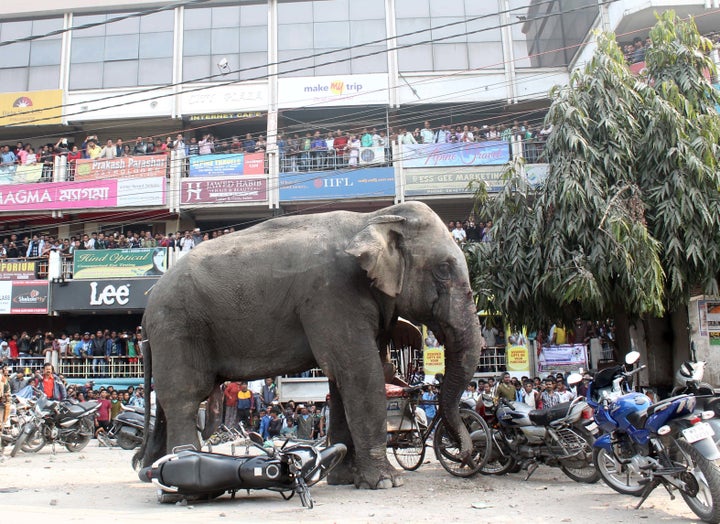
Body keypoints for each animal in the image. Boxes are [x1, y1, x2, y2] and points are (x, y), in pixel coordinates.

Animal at [135, 202, 484, 492]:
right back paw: (181, 473)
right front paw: (387, 482)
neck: (373, 218)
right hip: (178, 326)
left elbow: (343, 382)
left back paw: (153, 471)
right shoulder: (332, 294)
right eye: (443, 269)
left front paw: (344, 479)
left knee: (166, 403)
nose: (465, 455)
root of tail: (147, 309)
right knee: (185, 397)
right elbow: (359, 372)